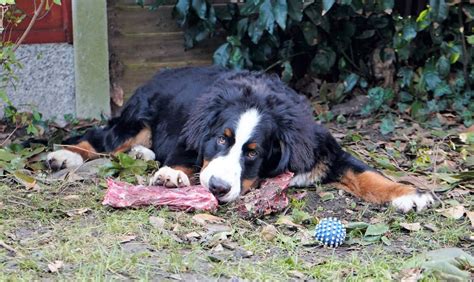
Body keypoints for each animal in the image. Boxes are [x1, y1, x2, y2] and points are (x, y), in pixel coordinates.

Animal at [45, 66, 434, 212]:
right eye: (221, 140)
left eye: (253, 153)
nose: (217, 188)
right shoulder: (192, 132)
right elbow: (185, 155)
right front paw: (173, 176)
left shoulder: (323, 149)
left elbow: (367, 174)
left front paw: (408, 194)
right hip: (136, 119)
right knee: (101, 139)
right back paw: (65, 156)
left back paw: (142, 154)